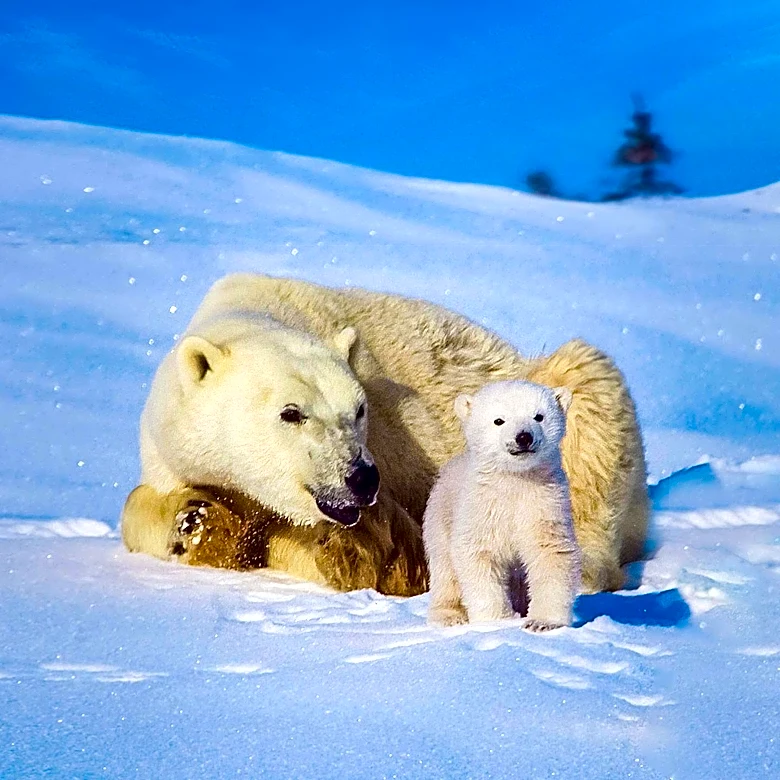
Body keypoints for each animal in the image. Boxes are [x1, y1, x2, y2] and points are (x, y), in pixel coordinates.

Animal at [121, 273, 649, 597]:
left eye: (358, 410)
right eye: (291, 413)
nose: (360, 477)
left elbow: (393, 546)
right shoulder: (174, 452)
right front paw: (195, 522)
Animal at [424, 380, 582, 631]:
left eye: (539, 416)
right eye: (499, 420)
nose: (523, 437)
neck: (515, 479)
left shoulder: (544, 503)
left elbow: (551, 552)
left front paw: (541, 622)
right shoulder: (482, 509)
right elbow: (478, 555)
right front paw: (498, 620)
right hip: (439, 521)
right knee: (445, 572)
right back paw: (449, 615)